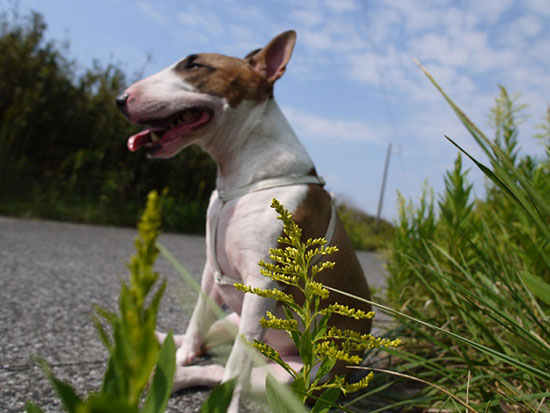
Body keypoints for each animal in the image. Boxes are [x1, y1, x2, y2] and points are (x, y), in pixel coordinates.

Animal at [118, 30, 374, 410]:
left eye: (194, 65)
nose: (121, 99)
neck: (241, 175)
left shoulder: (261, 286)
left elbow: (235, 365)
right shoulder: (211, 272)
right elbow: (196, 321)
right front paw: (178, 354)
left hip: (291, 377)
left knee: (222, 371)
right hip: (229, 319)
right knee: (204, 341)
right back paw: (163, 345)